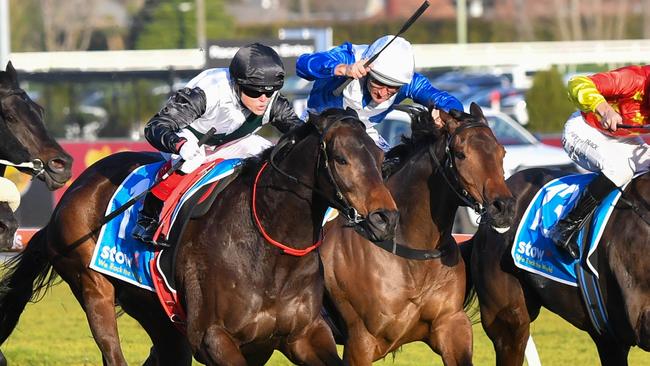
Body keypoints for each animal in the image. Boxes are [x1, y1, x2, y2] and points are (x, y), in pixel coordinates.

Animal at [0, 108, 398, 366]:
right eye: (342, 159)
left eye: (381, 157)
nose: (385, 218)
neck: (269, 249)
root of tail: (76, 189)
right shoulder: (213, 338)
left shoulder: (302, 336)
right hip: (93, 287)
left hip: (157, 313)